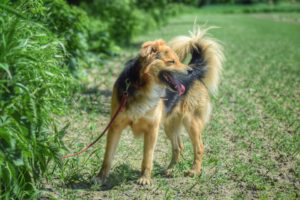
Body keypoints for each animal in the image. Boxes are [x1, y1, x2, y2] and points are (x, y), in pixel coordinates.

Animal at [94, 28, 223, 186]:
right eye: (171, 61)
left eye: (178, 60)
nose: (190, 71)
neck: (143, 86)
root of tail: (196, 71)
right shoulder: (115, 127)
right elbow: (107, 156)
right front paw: (101, 177)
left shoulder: (152, 129)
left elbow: (147, 157)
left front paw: (144, 178)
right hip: (170, 125)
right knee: (178, 147)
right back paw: (171, 169)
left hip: (191, 122)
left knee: (199, 147)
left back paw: (195, 171)